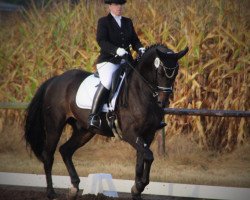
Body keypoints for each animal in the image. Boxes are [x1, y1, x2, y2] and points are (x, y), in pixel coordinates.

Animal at [24, 44, 188, 200]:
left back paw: (74, 189)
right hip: (54, 126)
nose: (163, 102)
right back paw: (51, 193)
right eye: (160, 72)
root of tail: (55, 80)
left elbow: (141, 160)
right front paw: (138, 187)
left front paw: (136, 191)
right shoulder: (130, 133)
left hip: (84, 131)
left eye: (176, 73)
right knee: (48, 155)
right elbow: (148, 156)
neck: (141, 92)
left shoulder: (147, 135)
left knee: (65, 150)